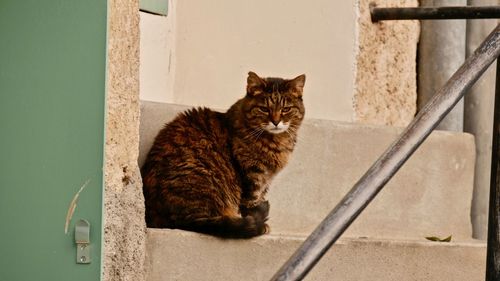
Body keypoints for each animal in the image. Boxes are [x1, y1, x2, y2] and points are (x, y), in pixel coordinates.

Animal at [141, 71, 304, 237]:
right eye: (264, 109)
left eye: (286, 109)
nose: (276, 122)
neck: (276, 142)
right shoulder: (251, 176)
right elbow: (250, 203)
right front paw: (259, 223)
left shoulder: (266, 180)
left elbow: (259, 198)